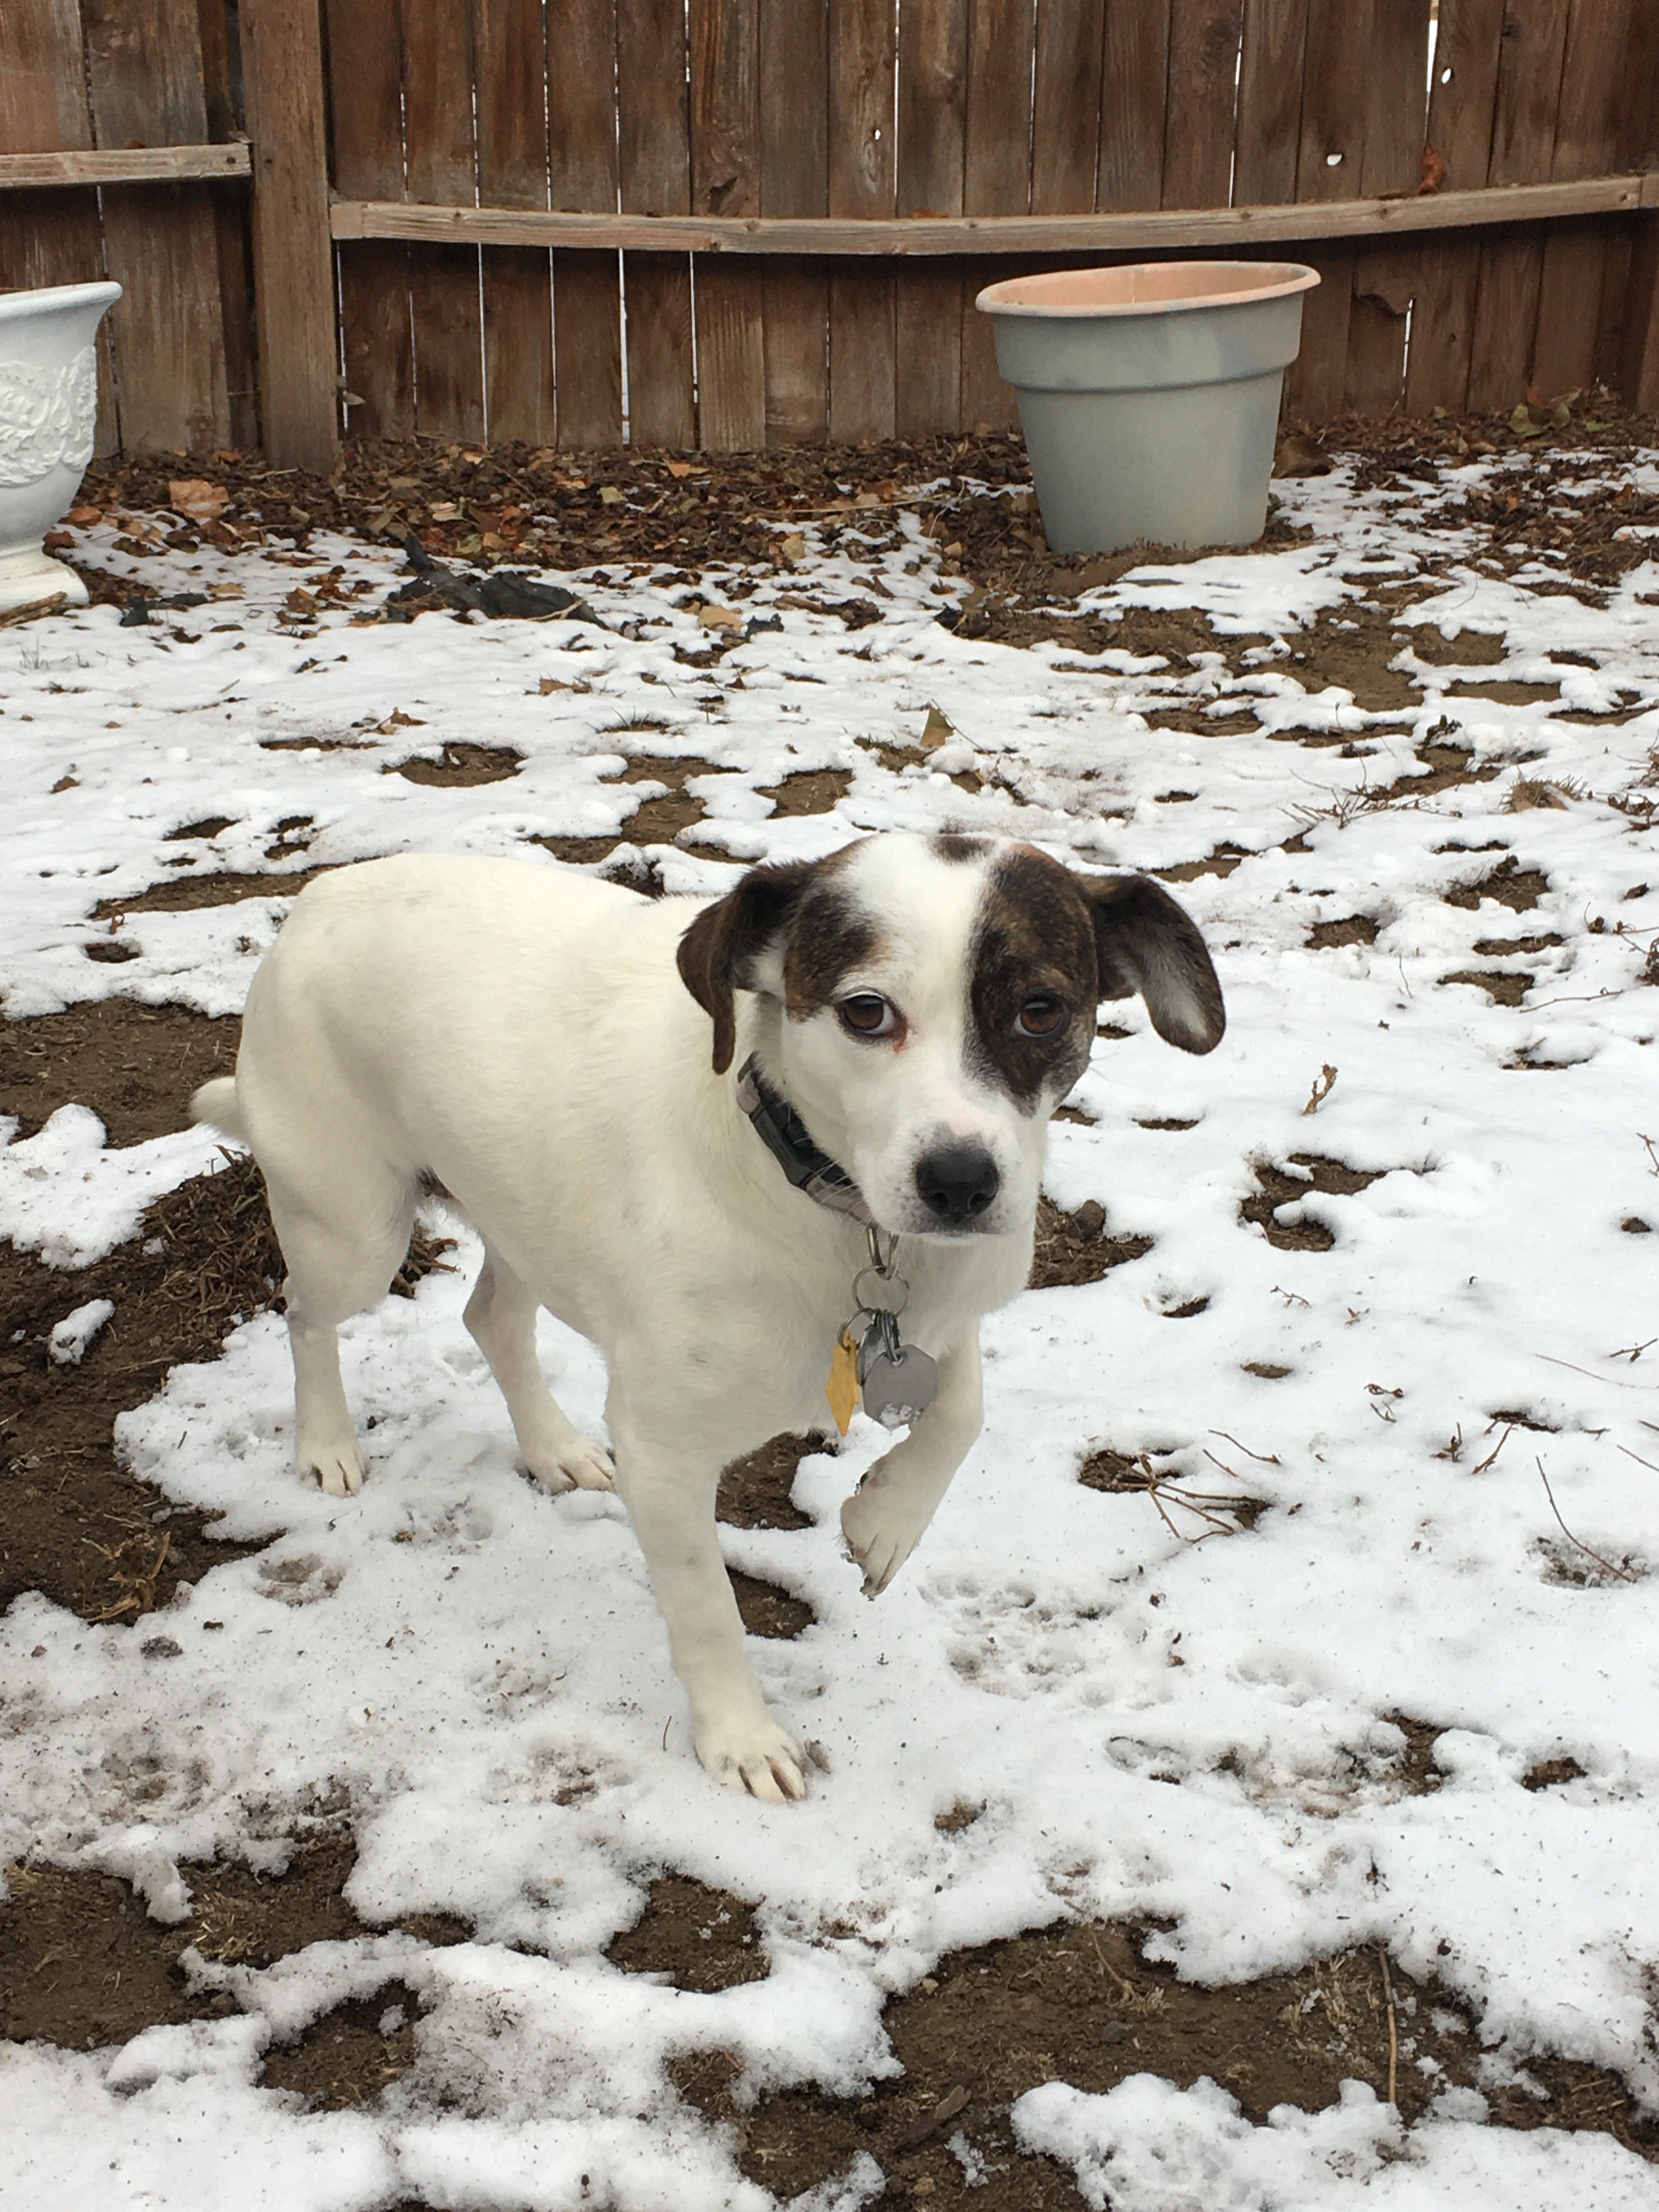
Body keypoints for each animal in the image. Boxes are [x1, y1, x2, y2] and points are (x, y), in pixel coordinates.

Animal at [198, 832, 1238, 1796]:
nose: (959, 1183)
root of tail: (321, 895)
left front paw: (884, 1521)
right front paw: (739, 1738)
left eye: (1040, 1009)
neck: (829, 1213)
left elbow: (961, 1413)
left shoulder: (945, 1312)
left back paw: (553, 1449)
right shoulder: (664, 1452)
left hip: (522, 1210)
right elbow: (707, 1609)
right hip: (354, 1229)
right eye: (865, 1011)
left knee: (491, 1317)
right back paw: (326, 1444)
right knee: (304, 1314)